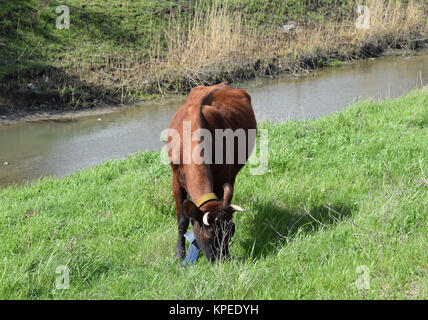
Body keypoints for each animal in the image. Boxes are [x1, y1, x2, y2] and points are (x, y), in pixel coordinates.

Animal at [166, 81, 256, 262]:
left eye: (231, 232)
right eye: (209, 236)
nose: (223, 260)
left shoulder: (222, 178)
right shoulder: (176, 180)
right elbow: (182, 220)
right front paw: (180, 253)